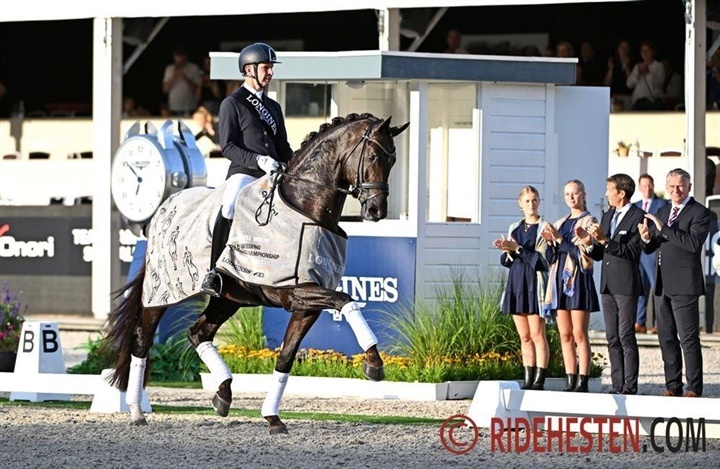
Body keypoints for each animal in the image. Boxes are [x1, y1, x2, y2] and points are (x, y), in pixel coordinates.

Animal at [101, 111, 408, 434]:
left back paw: (223, 394)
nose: (376, 211)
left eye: (393, 160)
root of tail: (163, 208)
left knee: (199, 333)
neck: (306, 208)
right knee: (142, 339)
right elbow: (346, 300)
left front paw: (272, 418)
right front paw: (374, 363)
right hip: (162, 294)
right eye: (373, 155)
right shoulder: (298, 292)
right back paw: (137, 411)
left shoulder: (305, 306)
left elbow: (286, 358)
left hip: (228, 298)